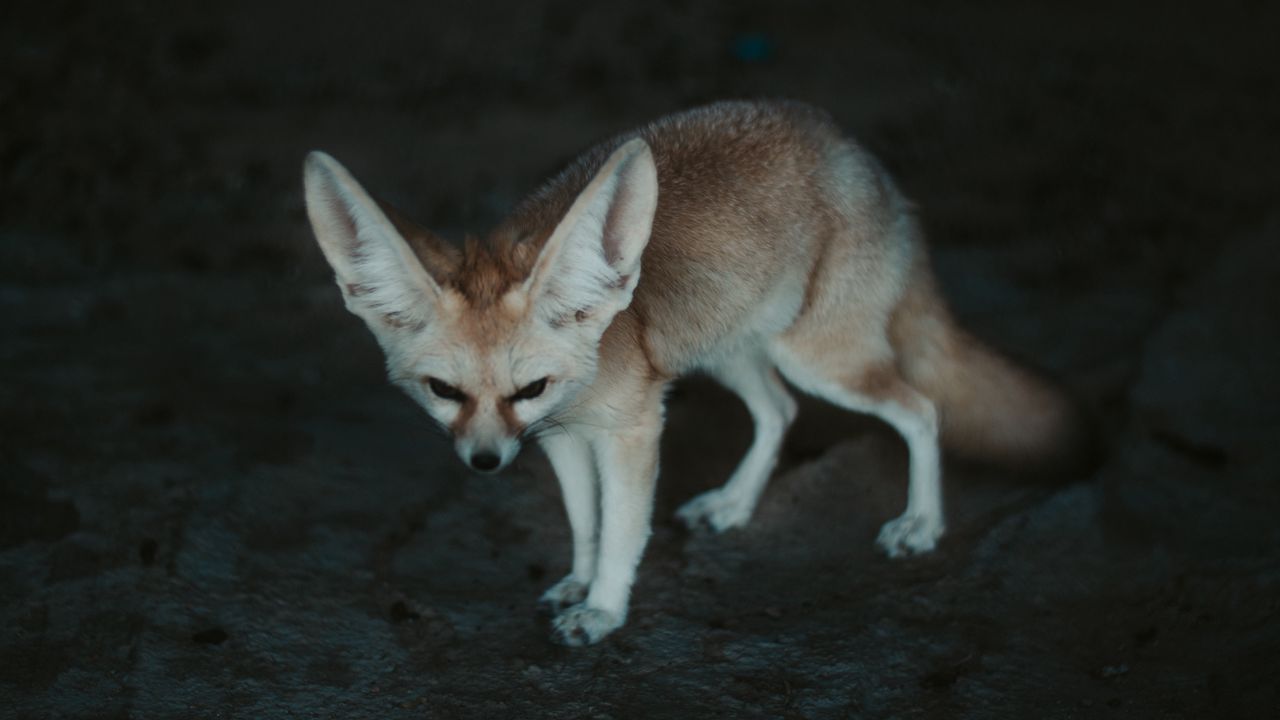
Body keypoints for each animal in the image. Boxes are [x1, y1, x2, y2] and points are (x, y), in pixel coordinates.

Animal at [304, 98, 1085, 640]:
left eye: (530, 387)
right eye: (444, 391)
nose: (485, 463)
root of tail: (859, 156)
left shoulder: (631, 429)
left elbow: (622, 528)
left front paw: (604, 608)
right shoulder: (561, 437)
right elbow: (584, 521)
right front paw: (579, 580)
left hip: (818, 360)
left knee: (921, 409)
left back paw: (921, 523)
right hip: (734, 352)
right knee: (780, 411)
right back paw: (735, 504)